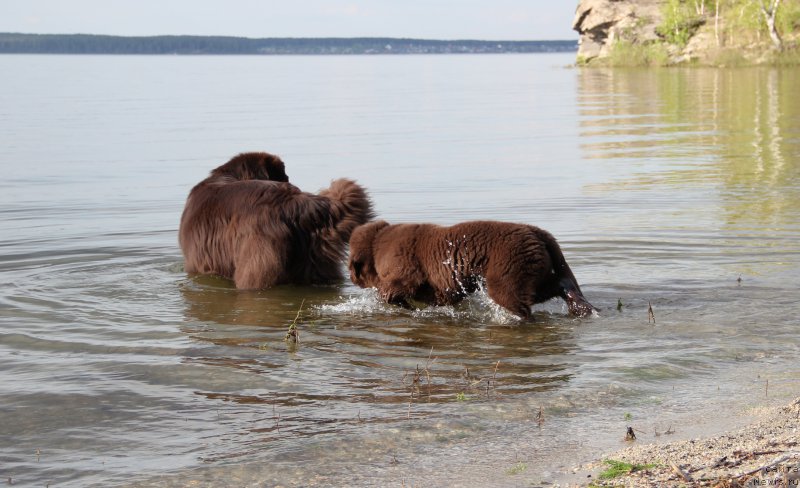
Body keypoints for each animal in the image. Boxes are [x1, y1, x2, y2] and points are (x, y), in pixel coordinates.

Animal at [346, 219, 596, 318]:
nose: (350, 276)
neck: (377, 245)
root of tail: (536, 232)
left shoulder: (404, 274)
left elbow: (391, 292)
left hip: (507, 277)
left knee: (521, 304)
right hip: (534, 273)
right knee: (556, 286)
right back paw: (577, 304)